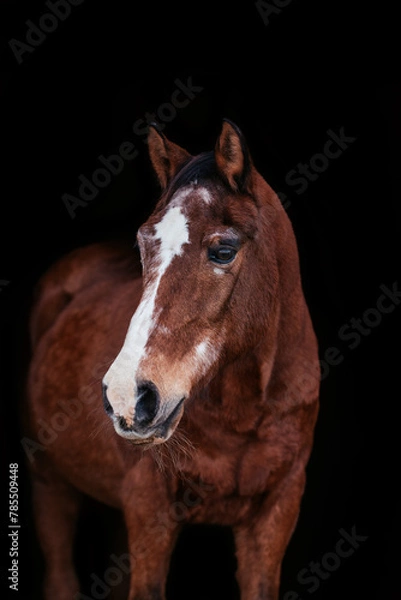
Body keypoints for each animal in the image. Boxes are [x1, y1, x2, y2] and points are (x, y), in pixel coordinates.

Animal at [24, 122, 318, 600]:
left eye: (223, 250)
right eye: (143, 244)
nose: (127, 397)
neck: (245, 411)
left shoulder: (276, 513)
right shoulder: (150, 510)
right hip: (50, 484)